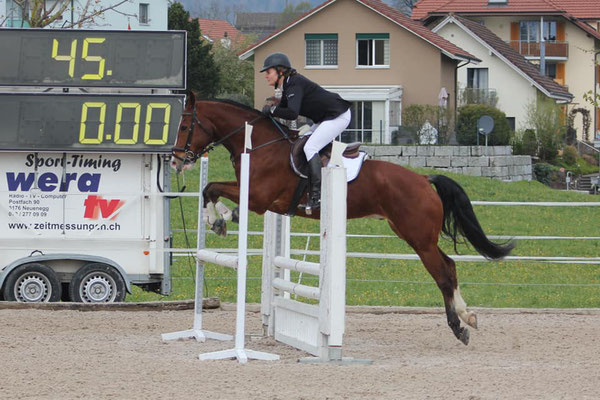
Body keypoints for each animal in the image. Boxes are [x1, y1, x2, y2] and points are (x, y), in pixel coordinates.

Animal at [171, 92, 512, 346]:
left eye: (185, 126)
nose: (176, 161)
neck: (260, 145)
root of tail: (423, 179)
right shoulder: (256, 198)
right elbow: (210, 189)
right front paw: (222, 218)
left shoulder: (258, 198)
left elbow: (212, 188)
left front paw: (220, 219)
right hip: (413, 234)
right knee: (450, 267)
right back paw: (468, 317)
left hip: (418, 238)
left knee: (442, 274)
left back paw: (458, 326)